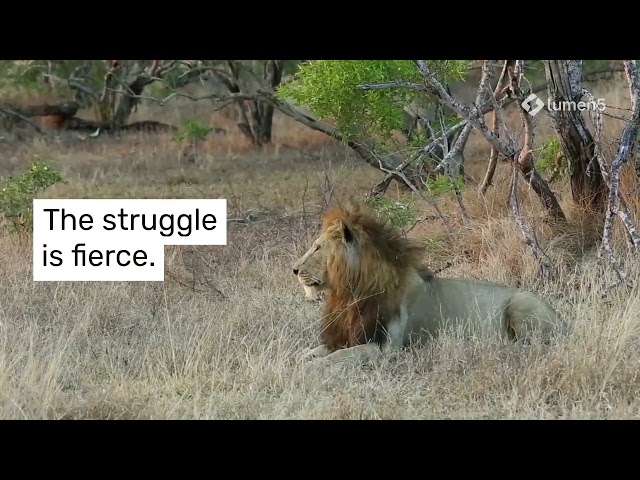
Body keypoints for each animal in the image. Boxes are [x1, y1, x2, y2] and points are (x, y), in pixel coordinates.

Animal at [293, 202, 566, 363]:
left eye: (317, 248)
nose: (294, 270)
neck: (350, 292)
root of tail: (563, 321)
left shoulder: (386, 348)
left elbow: (339, 356)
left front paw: (316, 367)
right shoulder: (348, 335)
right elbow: (318, 350)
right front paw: (302, 357)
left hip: (520, 302)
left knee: (533, 345)